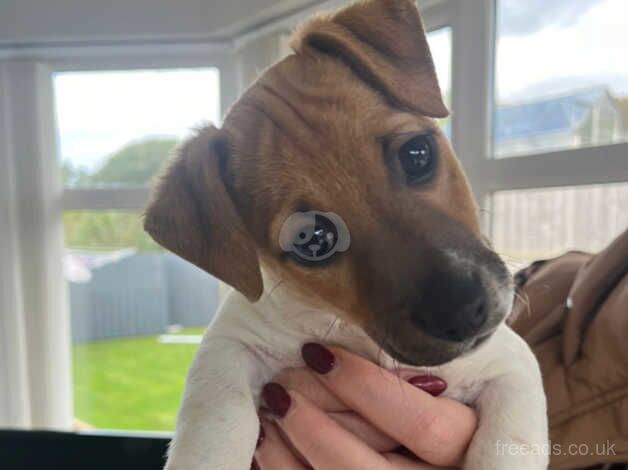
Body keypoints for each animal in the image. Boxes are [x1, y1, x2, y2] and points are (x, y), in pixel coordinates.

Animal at [145, 1, 548, 468]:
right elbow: (217, 422)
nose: (463, 312)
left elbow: (507, 445)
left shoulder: (511, 366)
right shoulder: (231, 347)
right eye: (313, 239)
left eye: (417, 154)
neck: (360, 339)